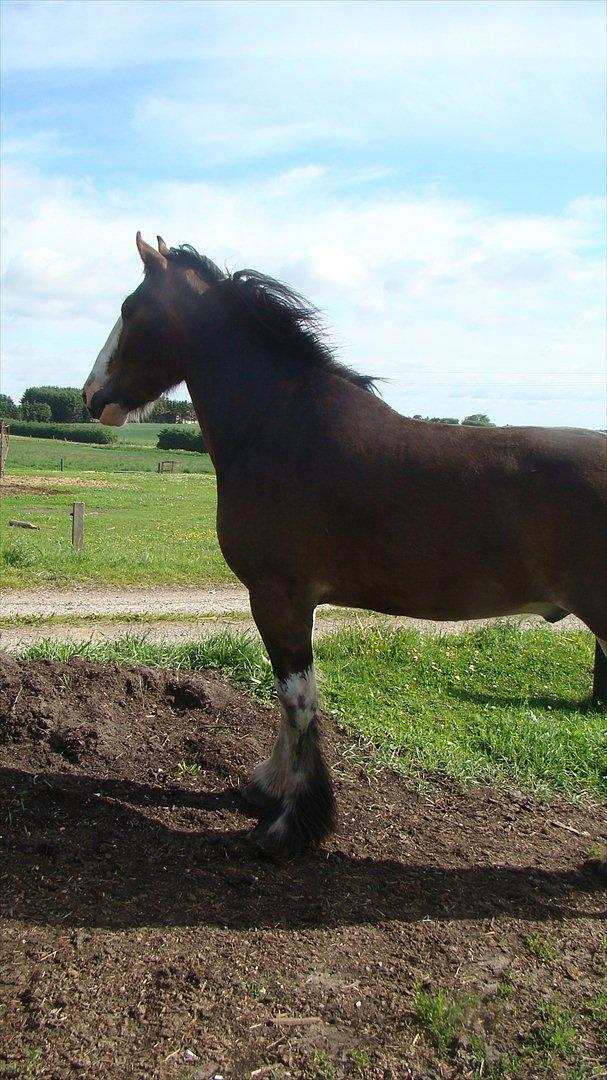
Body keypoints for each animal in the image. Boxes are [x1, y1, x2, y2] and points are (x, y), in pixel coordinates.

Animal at [81, 232, 604, 855]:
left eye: (129, 309)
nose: (91, 397)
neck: (283, 424)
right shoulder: (285, 601)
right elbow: (289, 699)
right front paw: (267, 788)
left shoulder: (278, 596)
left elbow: (297, 699)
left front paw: (290, 821)